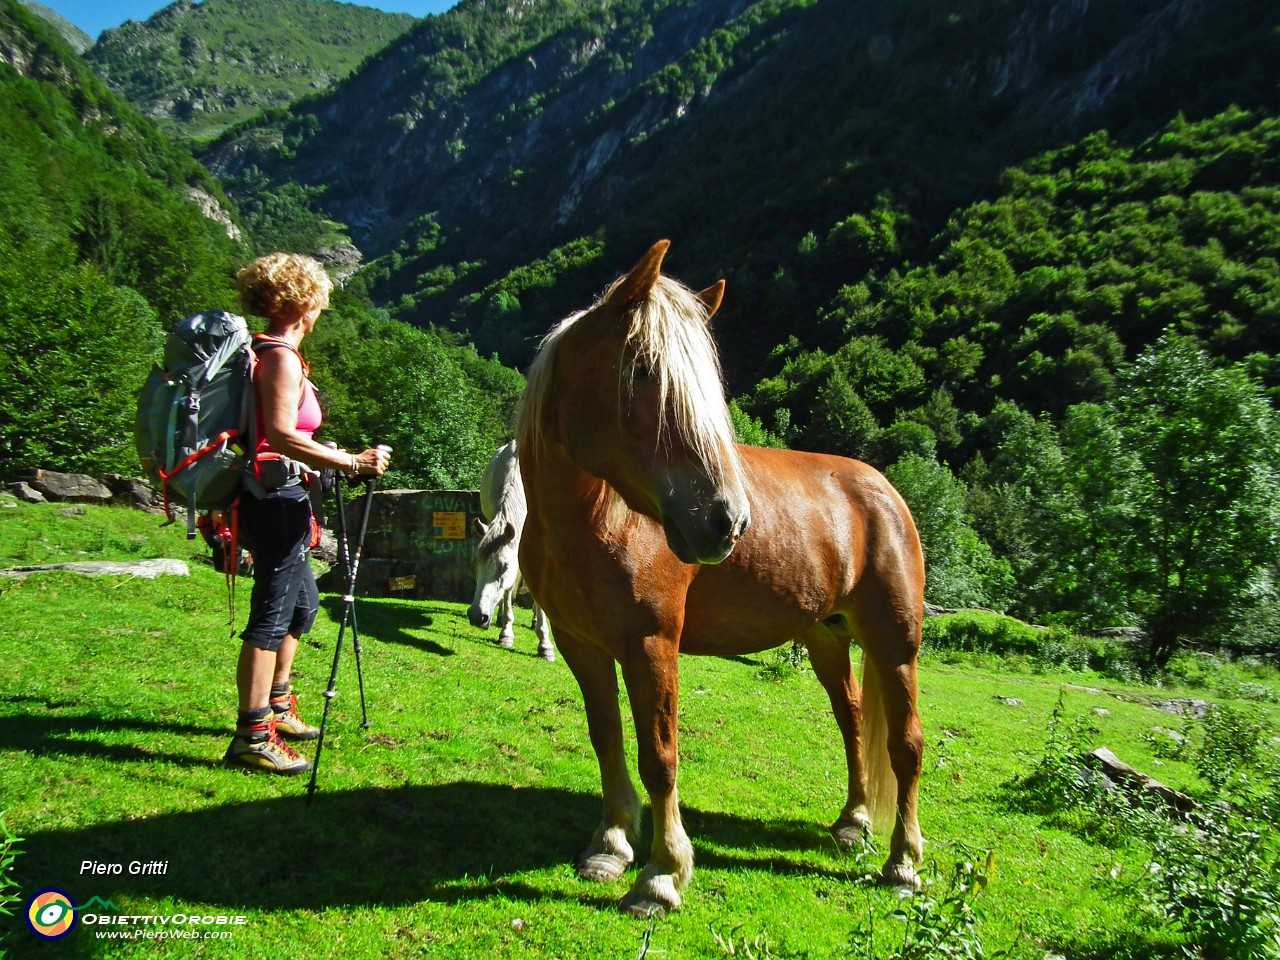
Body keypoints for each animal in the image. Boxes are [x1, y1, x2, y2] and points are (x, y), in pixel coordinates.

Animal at [468, 442, 552, 660]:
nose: (477, 616)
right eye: (474, 566)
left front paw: (545, 644)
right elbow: (507, 590)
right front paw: (506, 633)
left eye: (504, 567)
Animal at [514, 240, 926, 916]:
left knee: (906, 745)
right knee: (851, 723)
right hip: (827, 639)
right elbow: (606, 738)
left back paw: (904, 864)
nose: (727, 520)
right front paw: (610, 846)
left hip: (895, 644)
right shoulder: (582, 646)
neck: (592, 521)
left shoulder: (652, 646)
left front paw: (660, 875)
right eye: (642, 370)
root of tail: (885, 490)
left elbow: (659, 756)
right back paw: (853, 822)